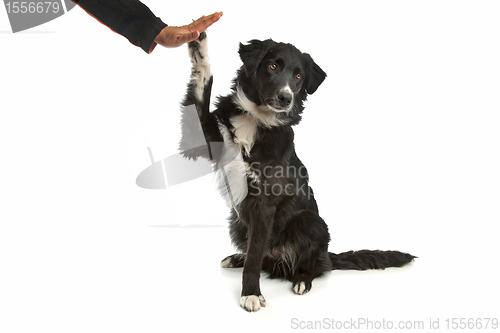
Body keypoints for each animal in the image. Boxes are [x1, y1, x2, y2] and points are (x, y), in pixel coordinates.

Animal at [180, 31, 414, 312]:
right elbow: (202, 83)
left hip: (311, 222)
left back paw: (302, 280)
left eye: (298, 76)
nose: (286, 98)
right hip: (236, 222)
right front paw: (198, 46)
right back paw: (237, 258)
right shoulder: (201, 138)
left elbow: (255, 255)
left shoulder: (265, 202)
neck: (257, 120)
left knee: (315, 265)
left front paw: (250, 293)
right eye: (272, 66)